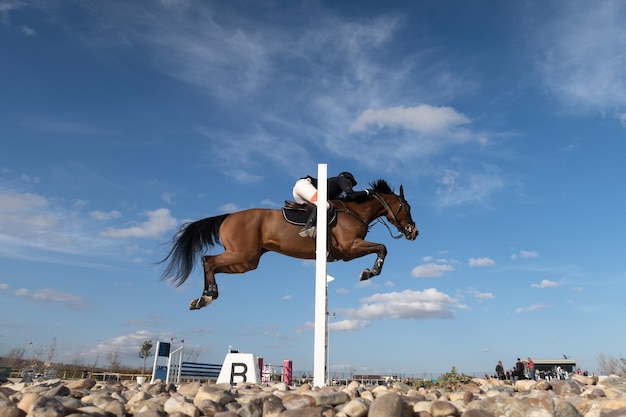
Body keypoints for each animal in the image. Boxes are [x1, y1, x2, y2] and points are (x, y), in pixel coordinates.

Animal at [158, 179, 416, 308]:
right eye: (407, 207)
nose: (414, 232)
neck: (356, 211)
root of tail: (228, 216)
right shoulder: (350, 247)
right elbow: (382, 248)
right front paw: (369, 272)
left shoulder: (349, 249)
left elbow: (381, 248)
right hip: (241, 254)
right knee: (208, 260)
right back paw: (207, 296)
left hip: (246, 262)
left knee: (210, 263)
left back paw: (205, 297)